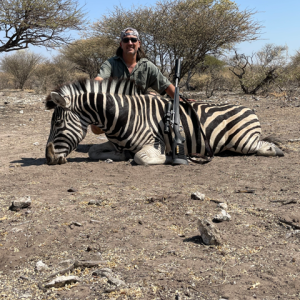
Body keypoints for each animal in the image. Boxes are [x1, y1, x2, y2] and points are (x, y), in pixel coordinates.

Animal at [44, 78, 284, 165]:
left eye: (58, 124)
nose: (49, 158)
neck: (123, 115)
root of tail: (250, 108)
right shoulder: (115, 144)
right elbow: (94, 151)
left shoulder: (154, 143)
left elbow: (141, 158)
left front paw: (169, 157)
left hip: (243, 142)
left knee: (265, 146)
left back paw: (277, 150)